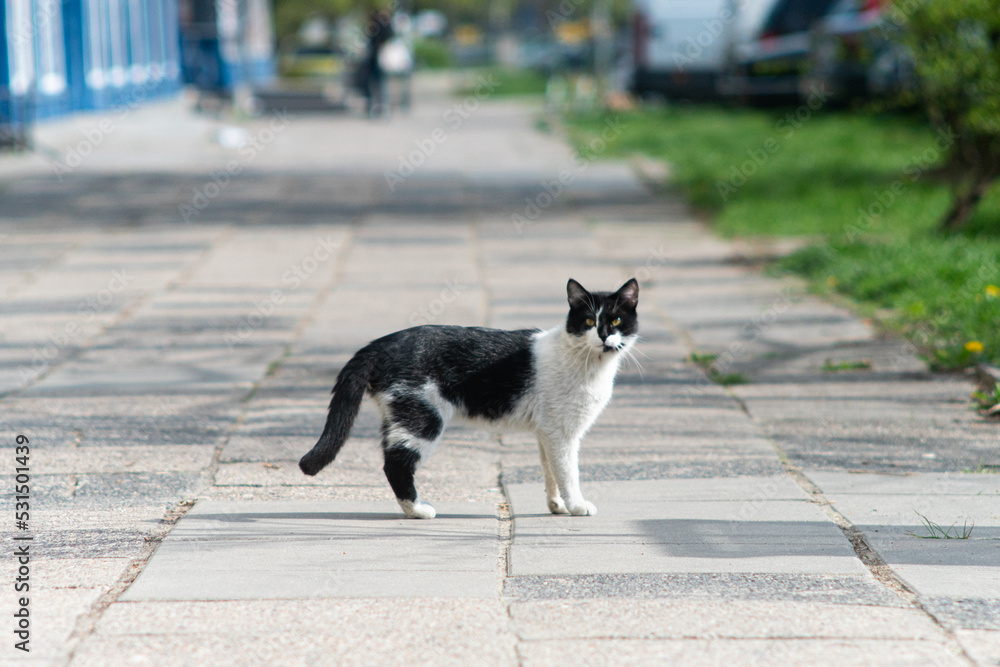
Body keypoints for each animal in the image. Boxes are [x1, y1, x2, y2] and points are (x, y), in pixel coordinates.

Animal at [298, 280, 640, 520]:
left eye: (616, 321)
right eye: (588, 322)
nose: (604, 336)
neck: (587, 362)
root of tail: (379, 344)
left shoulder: (547, 434)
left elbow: (550, 471)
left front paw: (556, 505)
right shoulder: (563, 434)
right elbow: (569, 472)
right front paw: (577, 505)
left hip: (399, 414)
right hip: (421, 416)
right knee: (396, 464)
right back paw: (418, 511)